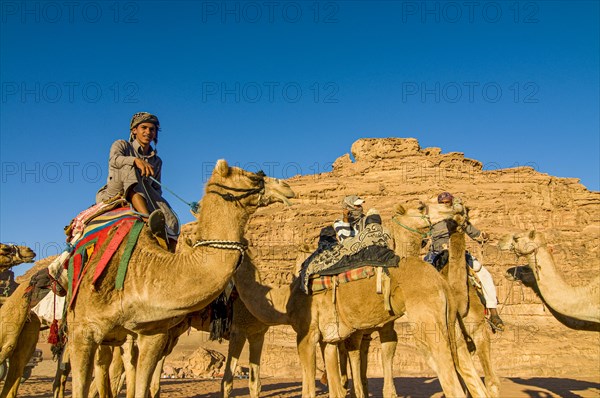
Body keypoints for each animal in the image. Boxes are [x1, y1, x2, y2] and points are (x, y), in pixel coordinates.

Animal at [66, 159, 296, 398]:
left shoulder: (255, 333)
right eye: (254, 177)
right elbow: (227, 382)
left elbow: (254, 383)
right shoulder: (82, 331)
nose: (286, 187)